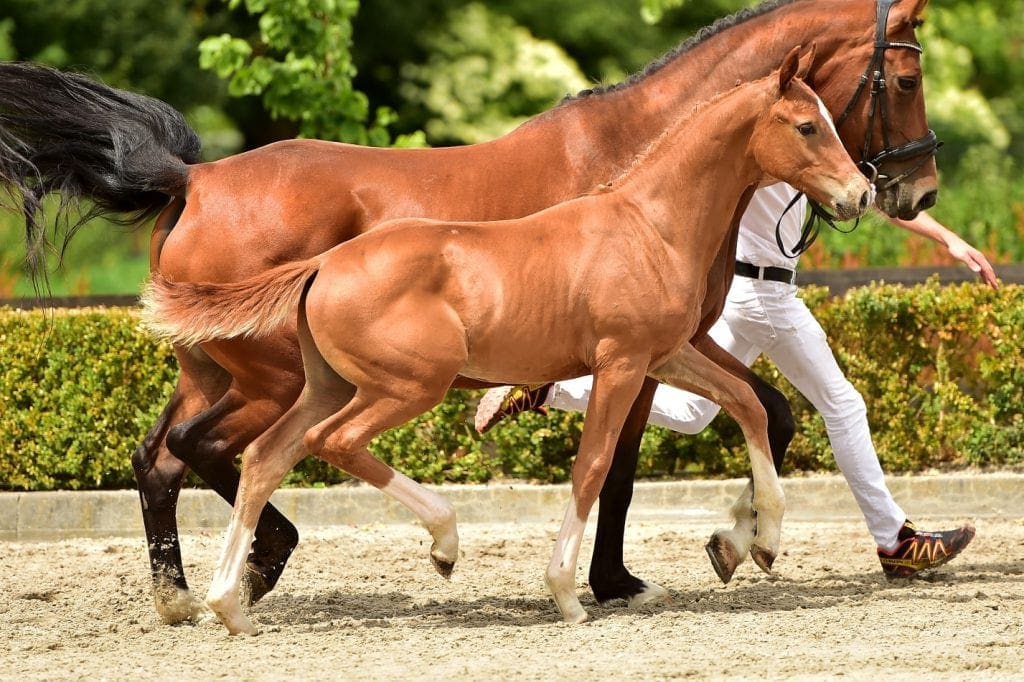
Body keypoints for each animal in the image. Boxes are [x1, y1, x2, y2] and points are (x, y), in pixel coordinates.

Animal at [0, 0, 938, 624]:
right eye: (904, 75)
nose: (906, 191)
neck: (642, 190)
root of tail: (192, 181)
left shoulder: (673, 345)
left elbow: (757, 410)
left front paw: (747, 541)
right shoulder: (631, 358)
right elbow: (613, 467)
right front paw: (609, 581)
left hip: (219, 372)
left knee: (165, 457)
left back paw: (194, 593)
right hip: (282, 380)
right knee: (221, 451)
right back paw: (273, 563)